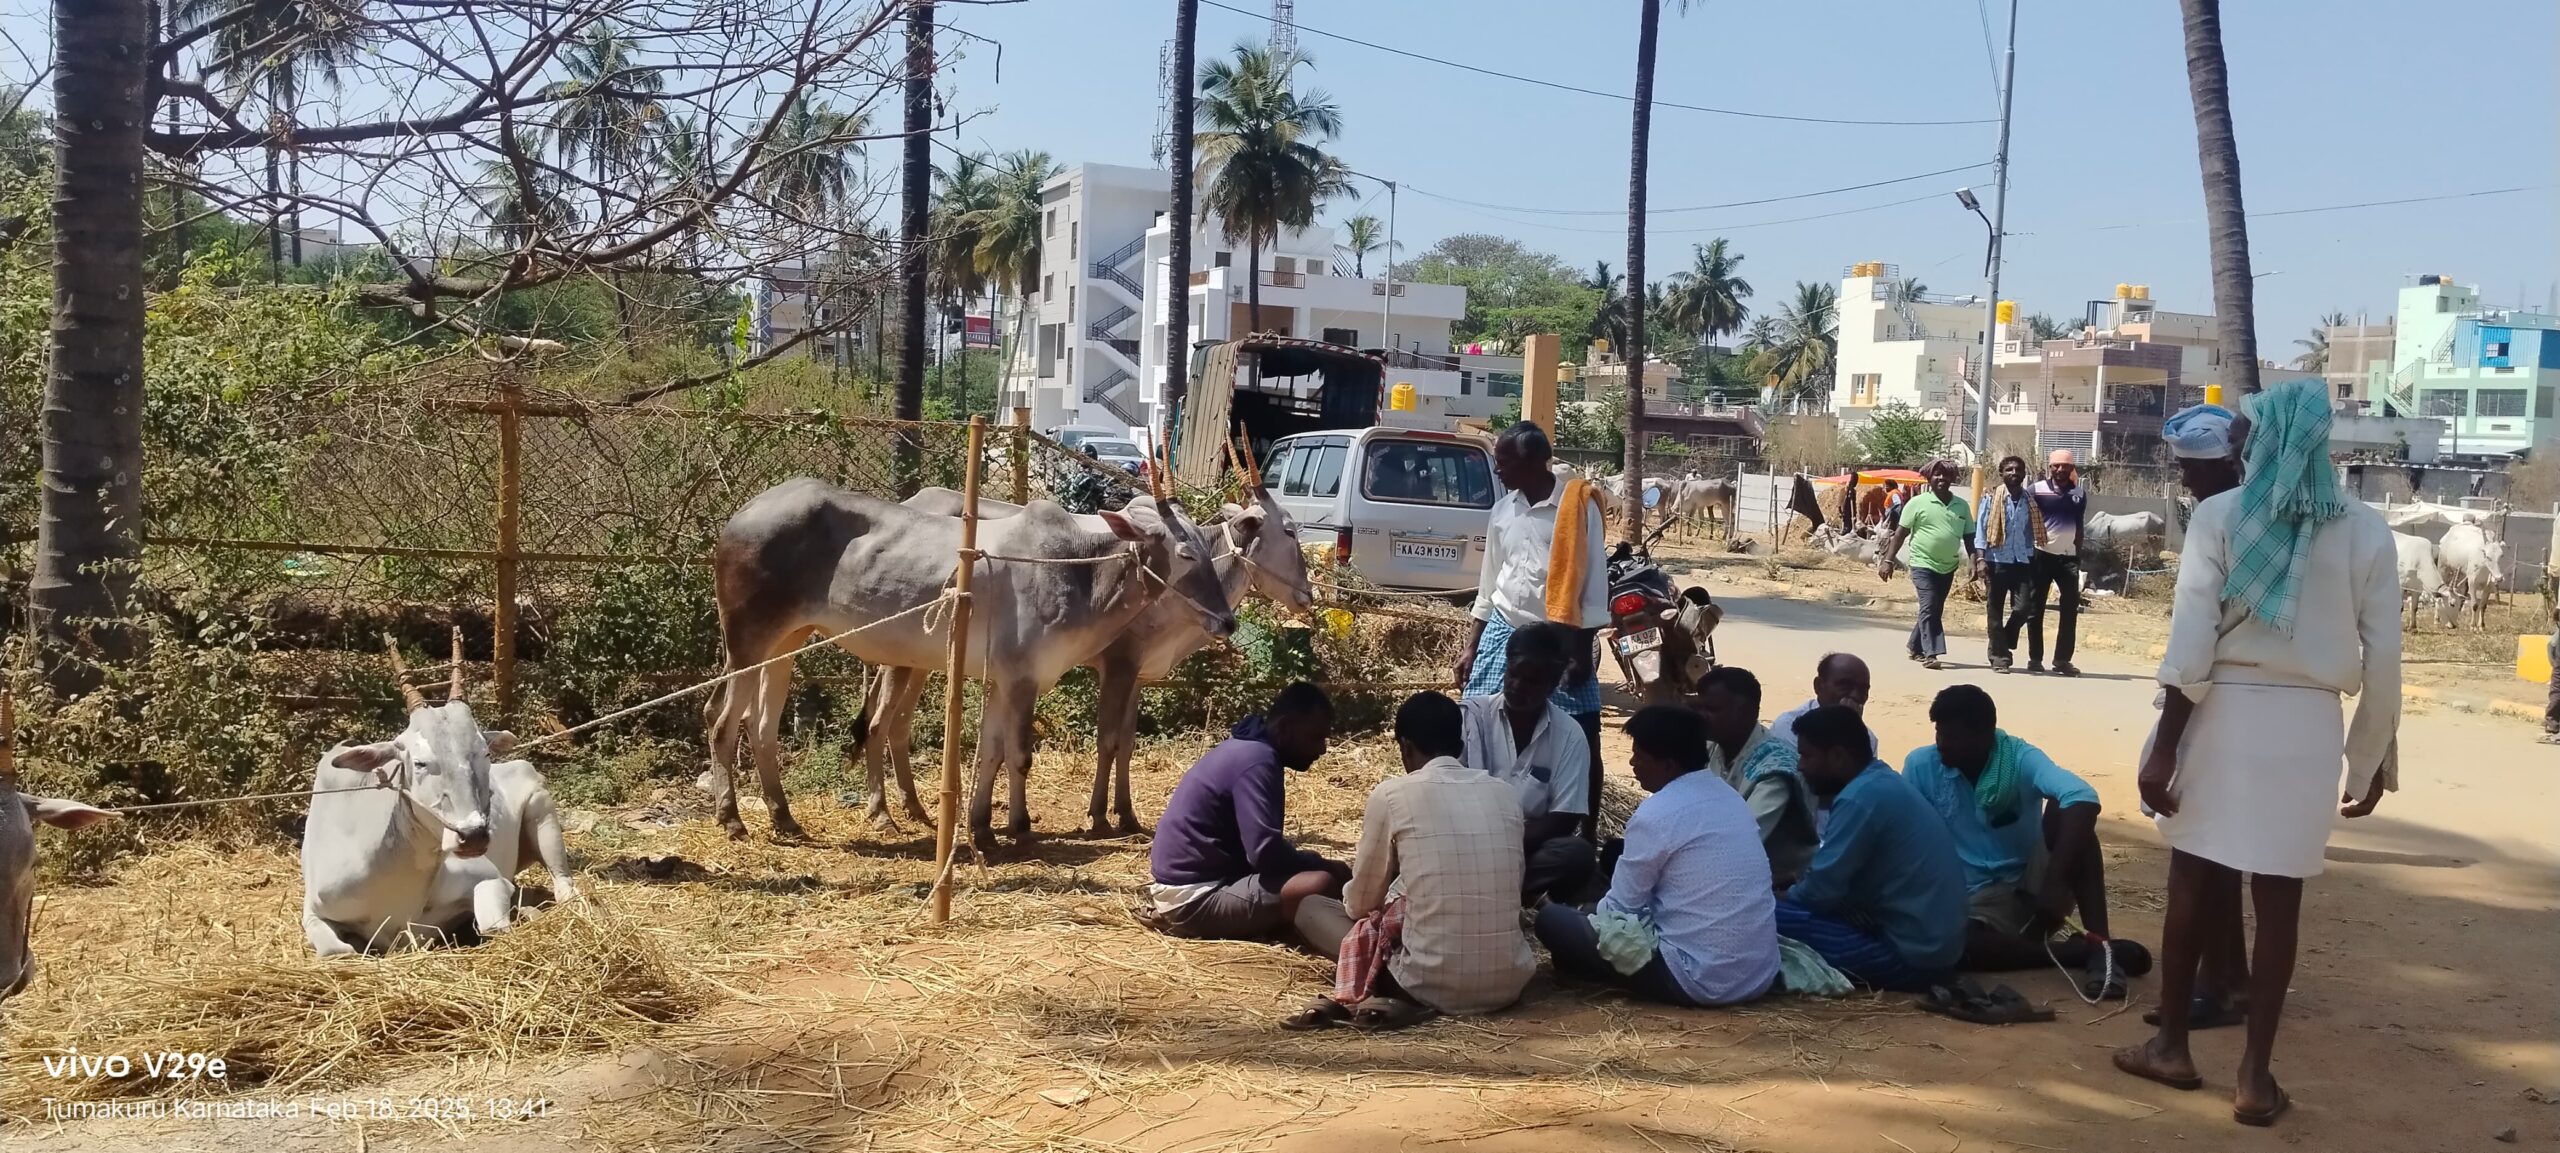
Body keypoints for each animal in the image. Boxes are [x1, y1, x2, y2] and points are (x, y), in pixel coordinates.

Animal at [299, 640, 576, 953]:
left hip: (542, 814)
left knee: (564, 887)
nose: (473, 836)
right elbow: (337, 951)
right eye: (419, 762)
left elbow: (494, 926)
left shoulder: (491, 878)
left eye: (485, 753)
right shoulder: (312, 911)